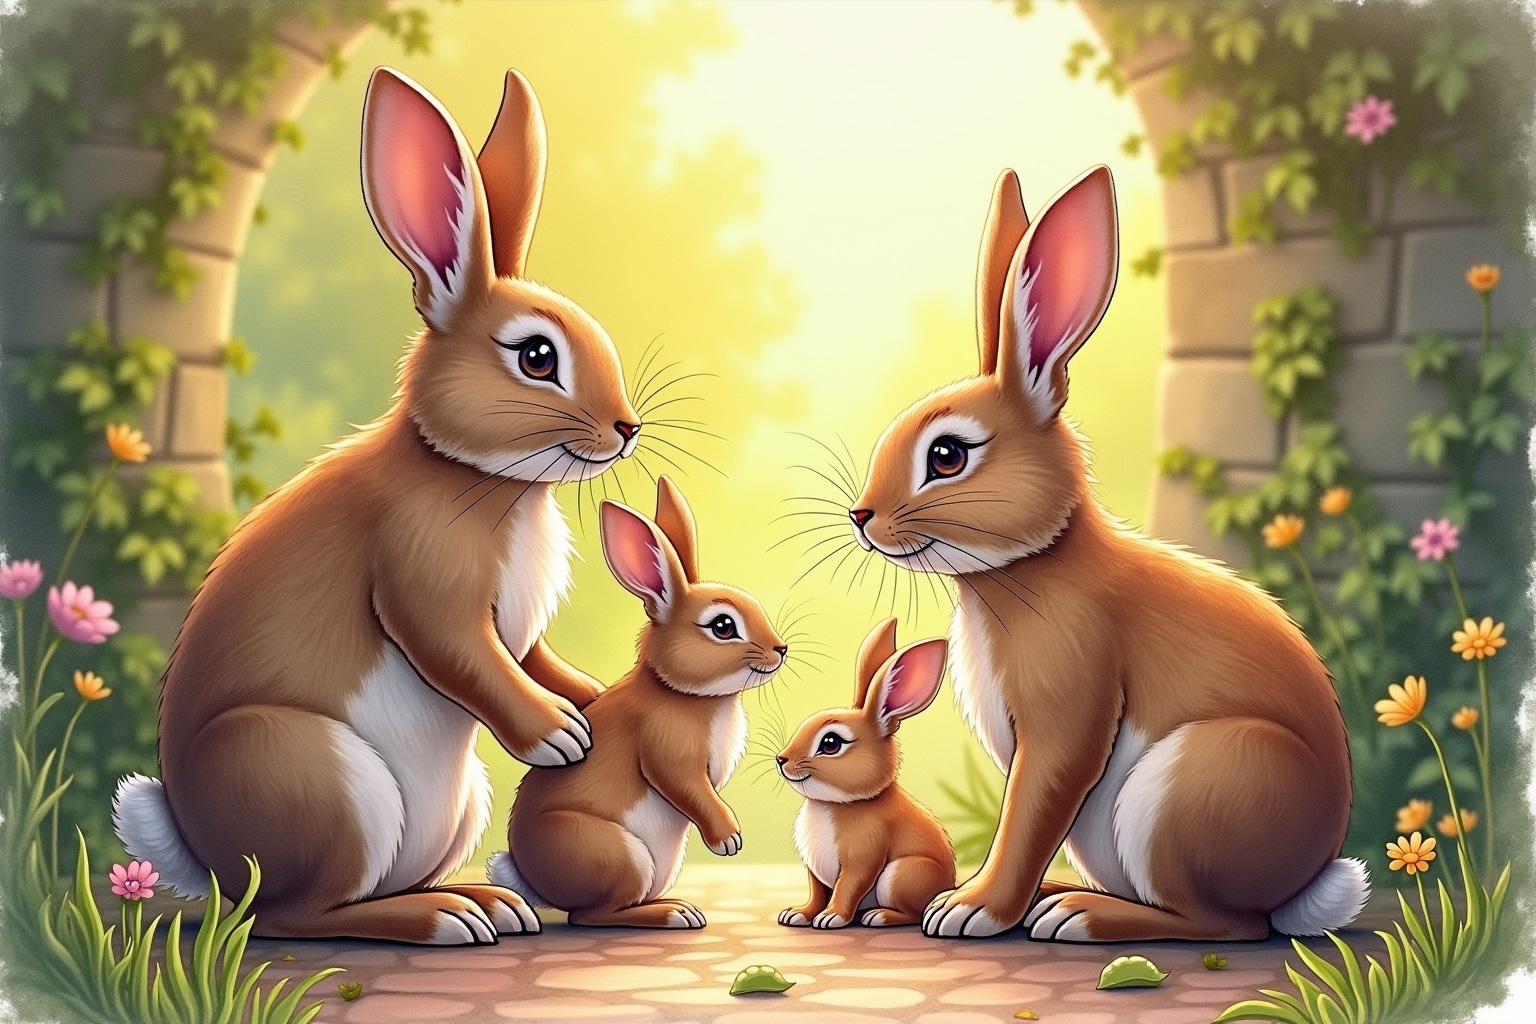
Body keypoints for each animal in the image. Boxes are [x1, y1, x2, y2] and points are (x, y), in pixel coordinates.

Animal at [111, 67, 643, 945]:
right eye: (537, 356)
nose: (628, 429)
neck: (476, 474)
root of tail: (207, 857)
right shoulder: (423, 580)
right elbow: (468, 659)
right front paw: (560, 735)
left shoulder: (517, 630)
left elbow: (529, 658)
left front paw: (589, 697)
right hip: (318, 779)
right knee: (298, 918)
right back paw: (444, 919)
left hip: (453, 804)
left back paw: (487, 904)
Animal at [488, 476, 788, 928]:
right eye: (722, 626)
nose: (780, 650)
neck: (679, 691)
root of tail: (529, 879)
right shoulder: (669, 753)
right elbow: (692, 790)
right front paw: (730, 840)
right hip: (615, 854)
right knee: (591, 917)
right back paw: (675, 914)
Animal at [775, 618, 957, 929]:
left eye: (831, 743)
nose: (781, 759)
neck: (839, 803)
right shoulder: (813, 869)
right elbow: (817, 892)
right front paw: (799, 914)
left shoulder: (863, 858)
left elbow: (848, 887)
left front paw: (831, 918)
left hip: (902, 874)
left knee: (914, 913)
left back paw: (879, 916)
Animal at [842, 165, 1366, 943]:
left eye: (947, 455)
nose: (862, 517)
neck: (1034, 563)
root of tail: (1305, 881)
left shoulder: (1068, 714)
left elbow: (1029, 813)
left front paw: (970, 909)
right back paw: (1062, 897)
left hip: (1192, 785)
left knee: (1225, 926)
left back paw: (1080, 916)